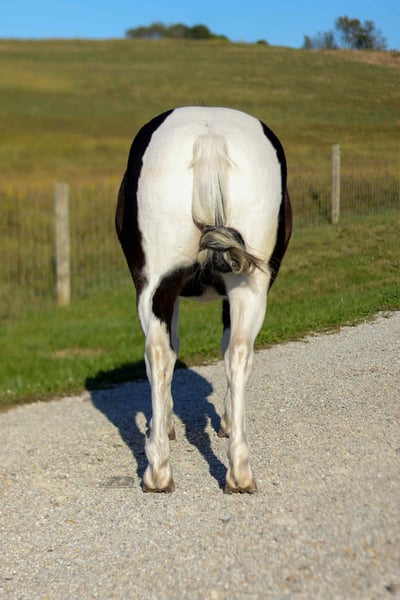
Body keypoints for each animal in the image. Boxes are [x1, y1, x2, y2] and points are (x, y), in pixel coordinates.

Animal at [116, 106, 292, 493]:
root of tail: (208, 141)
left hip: (160, 284)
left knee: (166, 351)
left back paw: (167, 470)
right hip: (244, 284)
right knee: (231, 350)